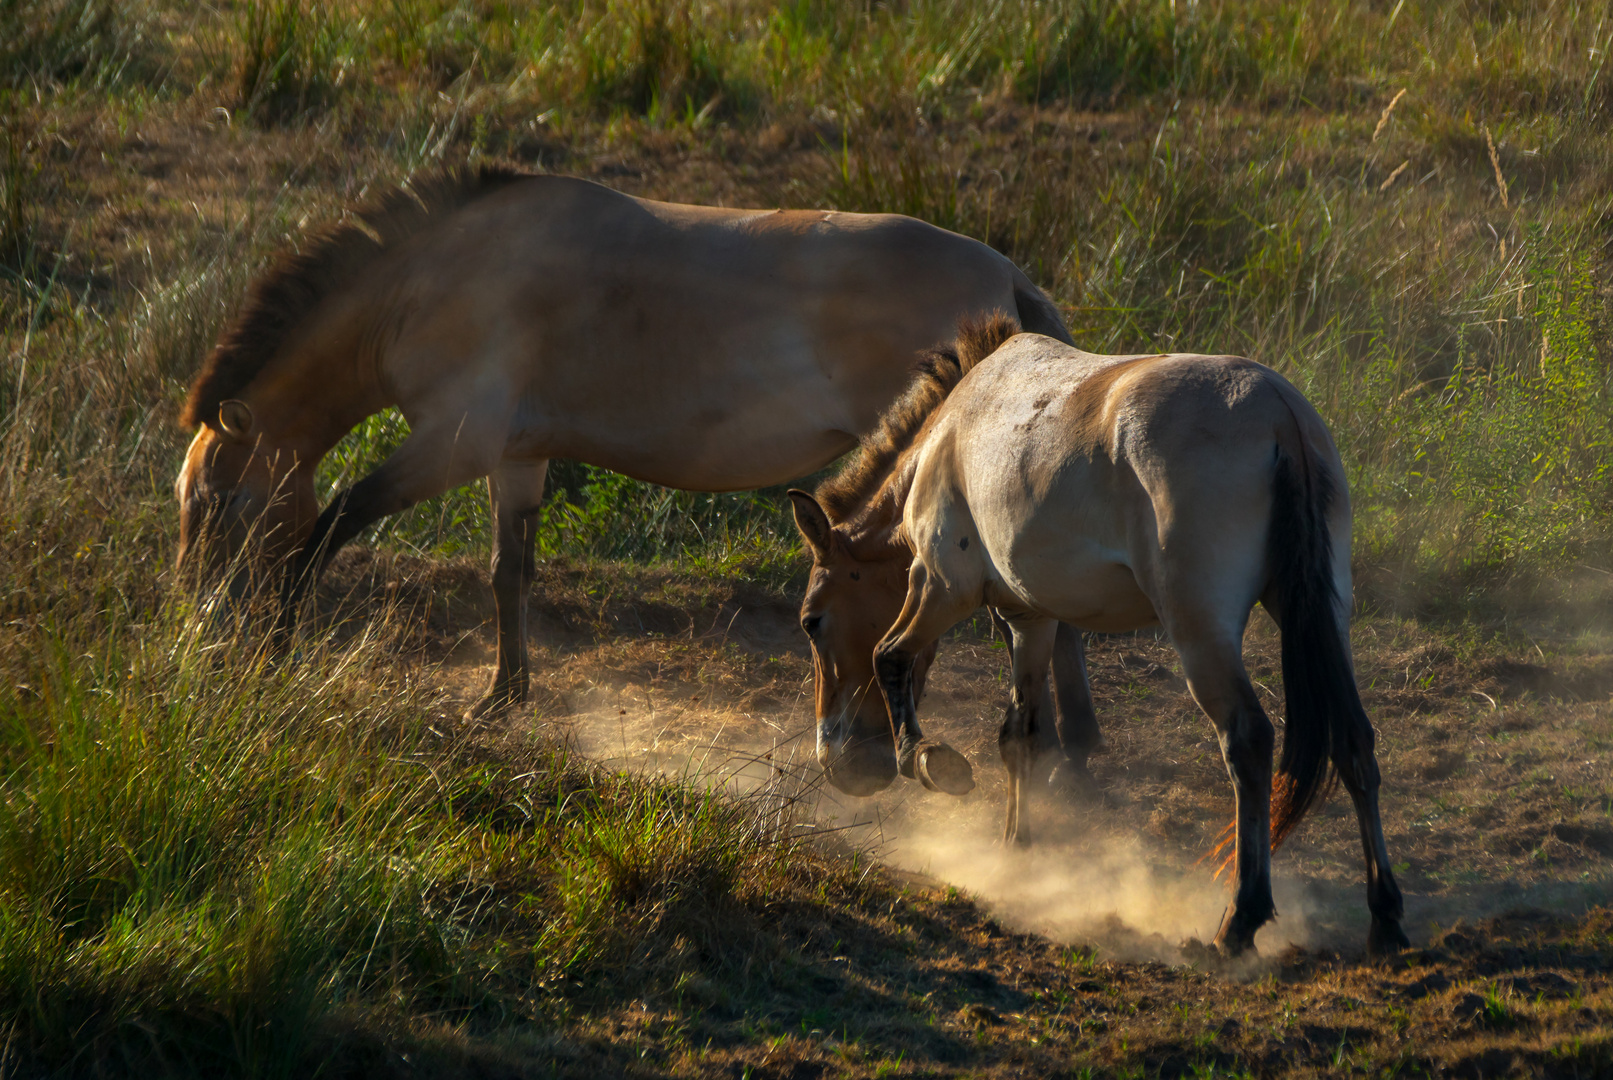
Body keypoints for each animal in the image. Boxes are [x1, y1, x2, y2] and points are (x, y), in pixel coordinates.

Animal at [176, 166, 1103, 770]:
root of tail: (1007, 282)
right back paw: (1076, 744)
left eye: (218, 504)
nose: (198, 628)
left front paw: (279, 645)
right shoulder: (516, 456)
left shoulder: (451, 443)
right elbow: (508, 572)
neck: (437, 279)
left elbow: (332, 525)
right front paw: (505, 696)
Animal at [787, 317, 1406, 960]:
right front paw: (1015, 852)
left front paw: (930, 761)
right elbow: (1019, 735)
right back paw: (1384, 919)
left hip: (1200, 634)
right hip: (1319, 617)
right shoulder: (1029, 620)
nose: (837, 762)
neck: (951, 431)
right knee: (1354, 740)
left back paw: (1240, 920)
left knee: (1249, 742)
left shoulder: (940, 586)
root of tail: (1280, 415)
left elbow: (890, 657)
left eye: (811, 620)